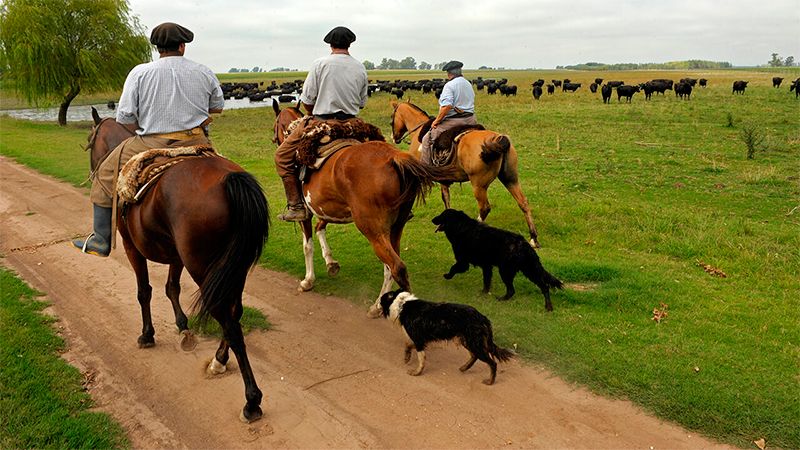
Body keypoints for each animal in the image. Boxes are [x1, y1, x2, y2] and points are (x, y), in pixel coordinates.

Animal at [86, 107, 270, 424]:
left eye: (89, 142)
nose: (92, 170)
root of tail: (230, 180)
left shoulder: (131, 247)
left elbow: (144, 291)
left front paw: (147, 335)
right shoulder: (175, 256)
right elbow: (171, 287)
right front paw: (183, 327)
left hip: (203, 267)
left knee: (230, 323)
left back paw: (251, 400)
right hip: (234, 268)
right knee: (235, 313)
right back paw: (219, 361)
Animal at [270, 109, 456, 314]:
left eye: (276, 125)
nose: (274, 139)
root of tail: (394, 158)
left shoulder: (307, 213)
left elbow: (307, 246)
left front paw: (308, 280)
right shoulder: (326, 208)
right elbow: (320, 227)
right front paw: (331, 263)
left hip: (371, 228)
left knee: (396, 266)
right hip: (394, 227)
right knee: (391, 265)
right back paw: (380, 304)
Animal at [380, 290, 512, 384]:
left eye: (381, 300)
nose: (377, 304)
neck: (402, 304)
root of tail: (482, 317)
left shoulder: (418, 338)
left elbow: (421, 358)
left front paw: (417, 372)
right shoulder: (420, 339)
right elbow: (408, 344)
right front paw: (407, 357)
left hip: (474, 342)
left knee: (492, 363)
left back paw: (490, 381)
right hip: (467, 340)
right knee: (474, 356)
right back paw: (464, 368)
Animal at [390, 100, 540, 248]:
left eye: (392, 119)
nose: (394, 138)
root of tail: (497, 139)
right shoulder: (443, 179)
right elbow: (446, 197)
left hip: (479, 185)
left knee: (484, 208)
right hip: (510, 179)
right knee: (523, 203)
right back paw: (533, 238)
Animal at [432, 209, 564, 312]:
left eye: (442, 215)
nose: (433, 219)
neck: (461, 226)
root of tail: (524, 245)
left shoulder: (463, 262)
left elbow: (453, 268)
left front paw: (447, 276)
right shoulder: (486, 266)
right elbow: (486, 282)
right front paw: (483, 293)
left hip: (506, 271)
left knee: (512, 290)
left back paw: (502, 299)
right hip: (529, 270)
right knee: (544, 286)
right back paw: (548, 307)